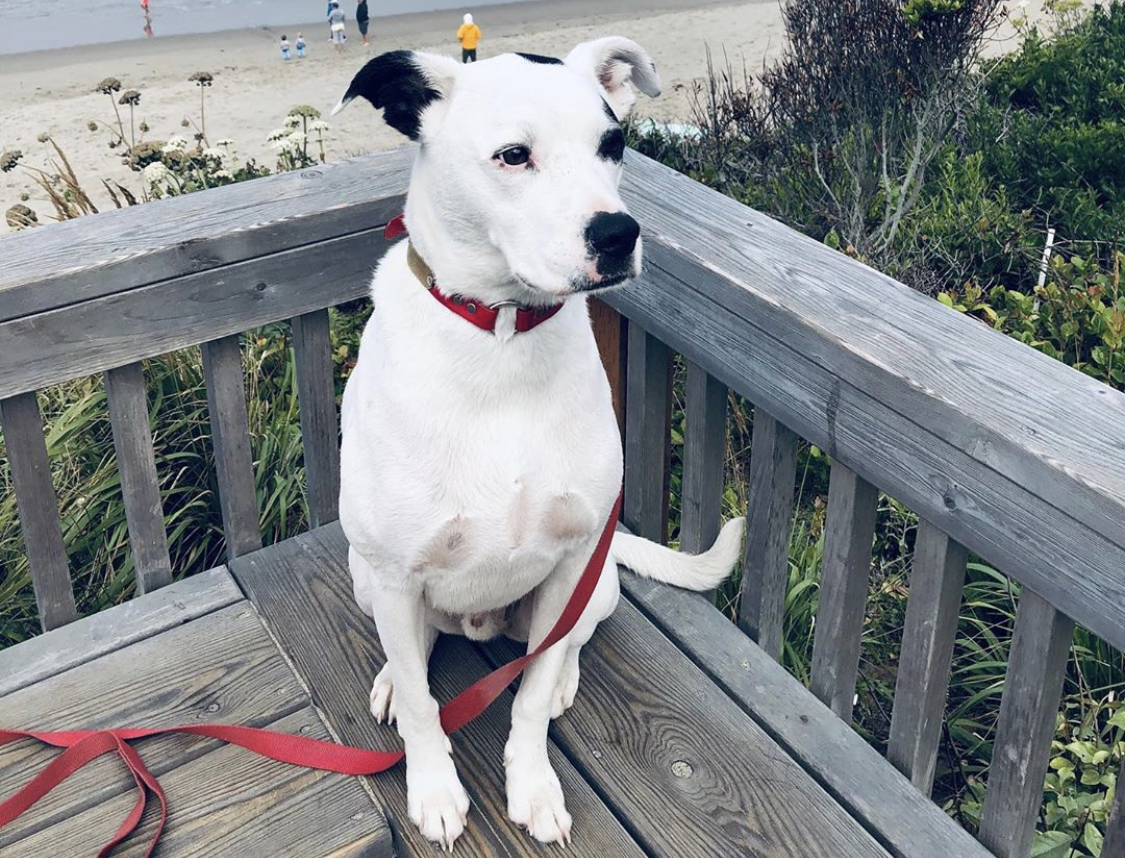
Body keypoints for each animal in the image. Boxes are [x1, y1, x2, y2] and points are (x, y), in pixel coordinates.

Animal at [330, 41, 747, 854]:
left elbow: (526, 697)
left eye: (614, 143)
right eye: (513, 155)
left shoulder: (569, 565)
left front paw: (532, 784)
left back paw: (562, 683)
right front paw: (434, 788)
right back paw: (397, 676)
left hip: (598, 581)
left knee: (566, 649)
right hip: (366, 578)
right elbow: (426, 709)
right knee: (415, 652)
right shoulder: (392, 576)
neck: (500, 345)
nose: (618, 235)